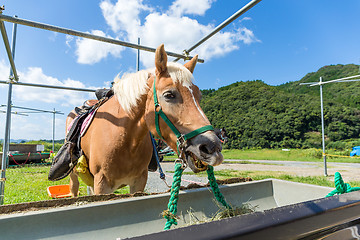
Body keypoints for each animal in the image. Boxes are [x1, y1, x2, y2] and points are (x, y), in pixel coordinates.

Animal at [66, 44, 224, 196]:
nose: (213, 147)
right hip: (74, 177)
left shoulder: (139, 182)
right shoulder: (102, 184)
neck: (125, 141)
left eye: (199, 96)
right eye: (169, 95)